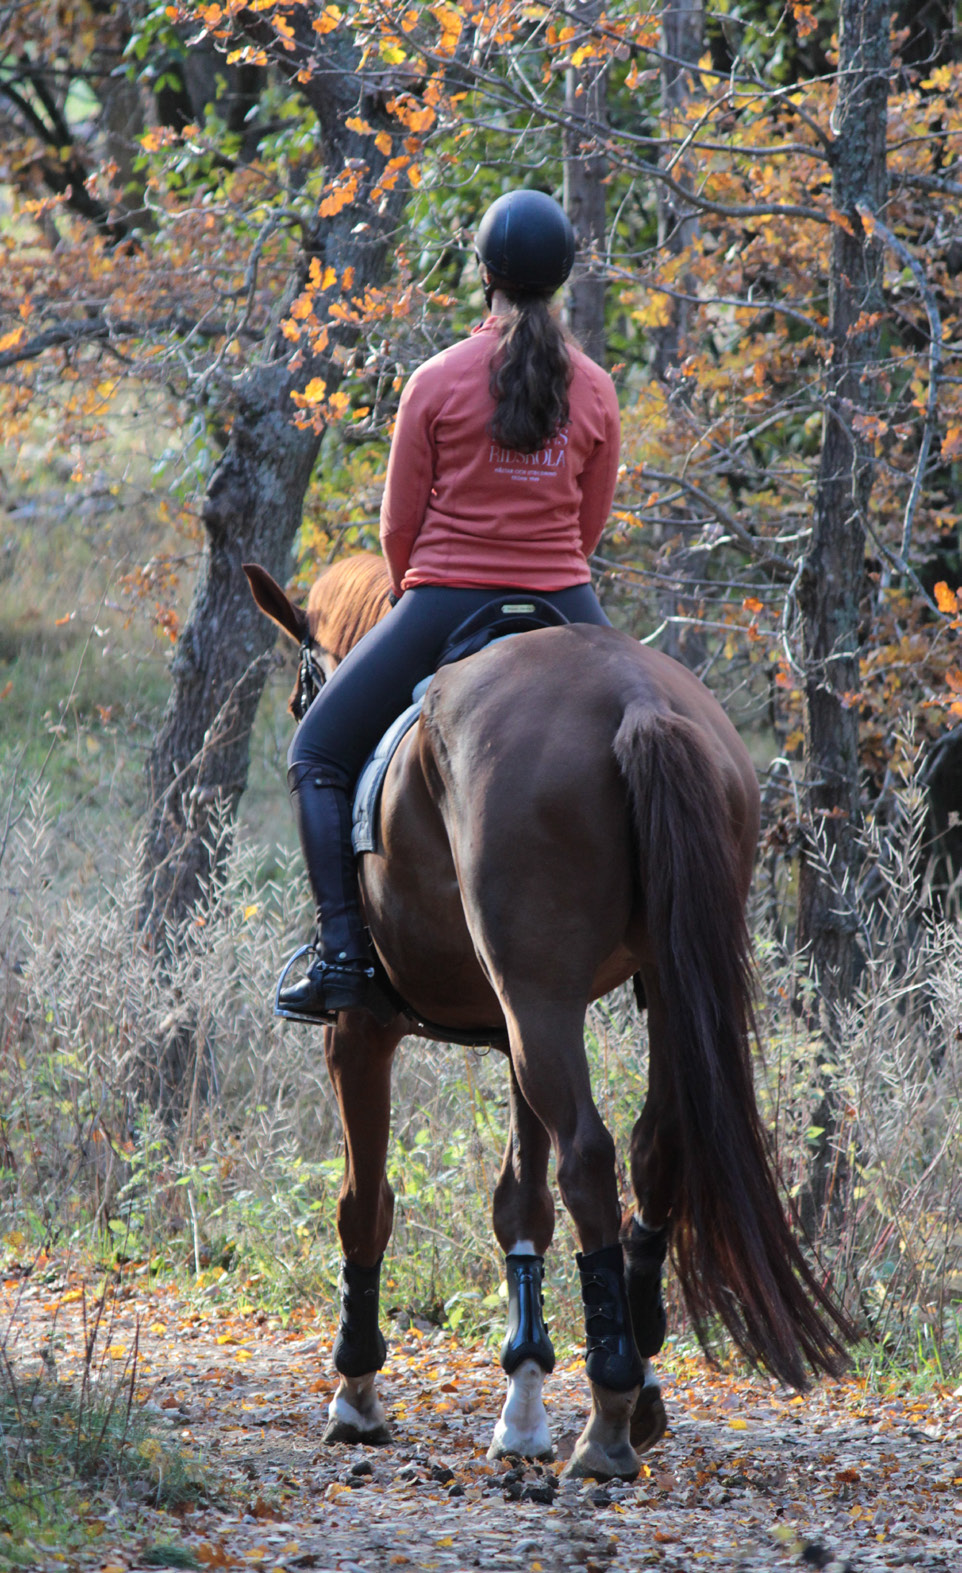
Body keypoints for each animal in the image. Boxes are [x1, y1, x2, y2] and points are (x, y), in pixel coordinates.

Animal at [243, 550, 855, 1472]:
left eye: (304, 687)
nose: (300, 705)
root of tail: (636, 698)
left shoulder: (363, 1031)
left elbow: (366, 1201)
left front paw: (356, 1389)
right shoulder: (512, 1029)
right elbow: (517, 1202)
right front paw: (524, 1397)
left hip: (536, 1004)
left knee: (590, 1159)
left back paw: (608, 1415)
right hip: (644, 992)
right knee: (655, 1148)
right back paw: (637, 1369)